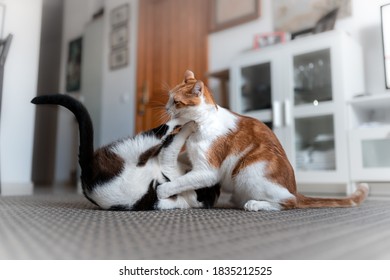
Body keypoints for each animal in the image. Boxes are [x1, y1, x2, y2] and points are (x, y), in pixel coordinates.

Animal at [31, 94, 219, 210]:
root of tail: (86, 174)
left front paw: (191, 123)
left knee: (163, 129)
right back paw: (191, 116)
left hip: (138, 144)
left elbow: (174, 141)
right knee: (166, 129)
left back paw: (188, 118)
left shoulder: (168, 161)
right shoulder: (168, 158)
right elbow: (175, 140)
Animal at [158, 70, 368, 210]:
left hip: (247, 172)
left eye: (176, 102)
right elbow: (182, 158)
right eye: (168, 98)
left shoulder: (207, 171)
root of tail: (295, 189)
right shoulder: (191, 155)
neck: (200, 124)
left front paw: (163, 190)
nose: (166, 108)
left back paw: (255, 204)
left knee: (289, 202)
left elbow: (182, 181)